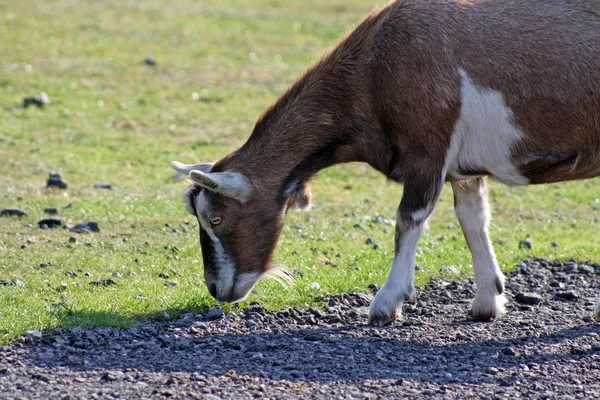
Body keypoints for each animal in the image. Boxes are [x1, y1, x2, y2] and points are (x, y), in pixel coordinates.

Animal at [171, 0, 600, 324]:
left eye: (216, 218)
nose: (216, 288)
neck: (372, 73)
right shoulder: (462, 169)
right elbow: (473, 218)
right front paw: (486, 302)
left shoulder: (427, 150)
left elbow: (408, 220)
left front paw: (386, 303)